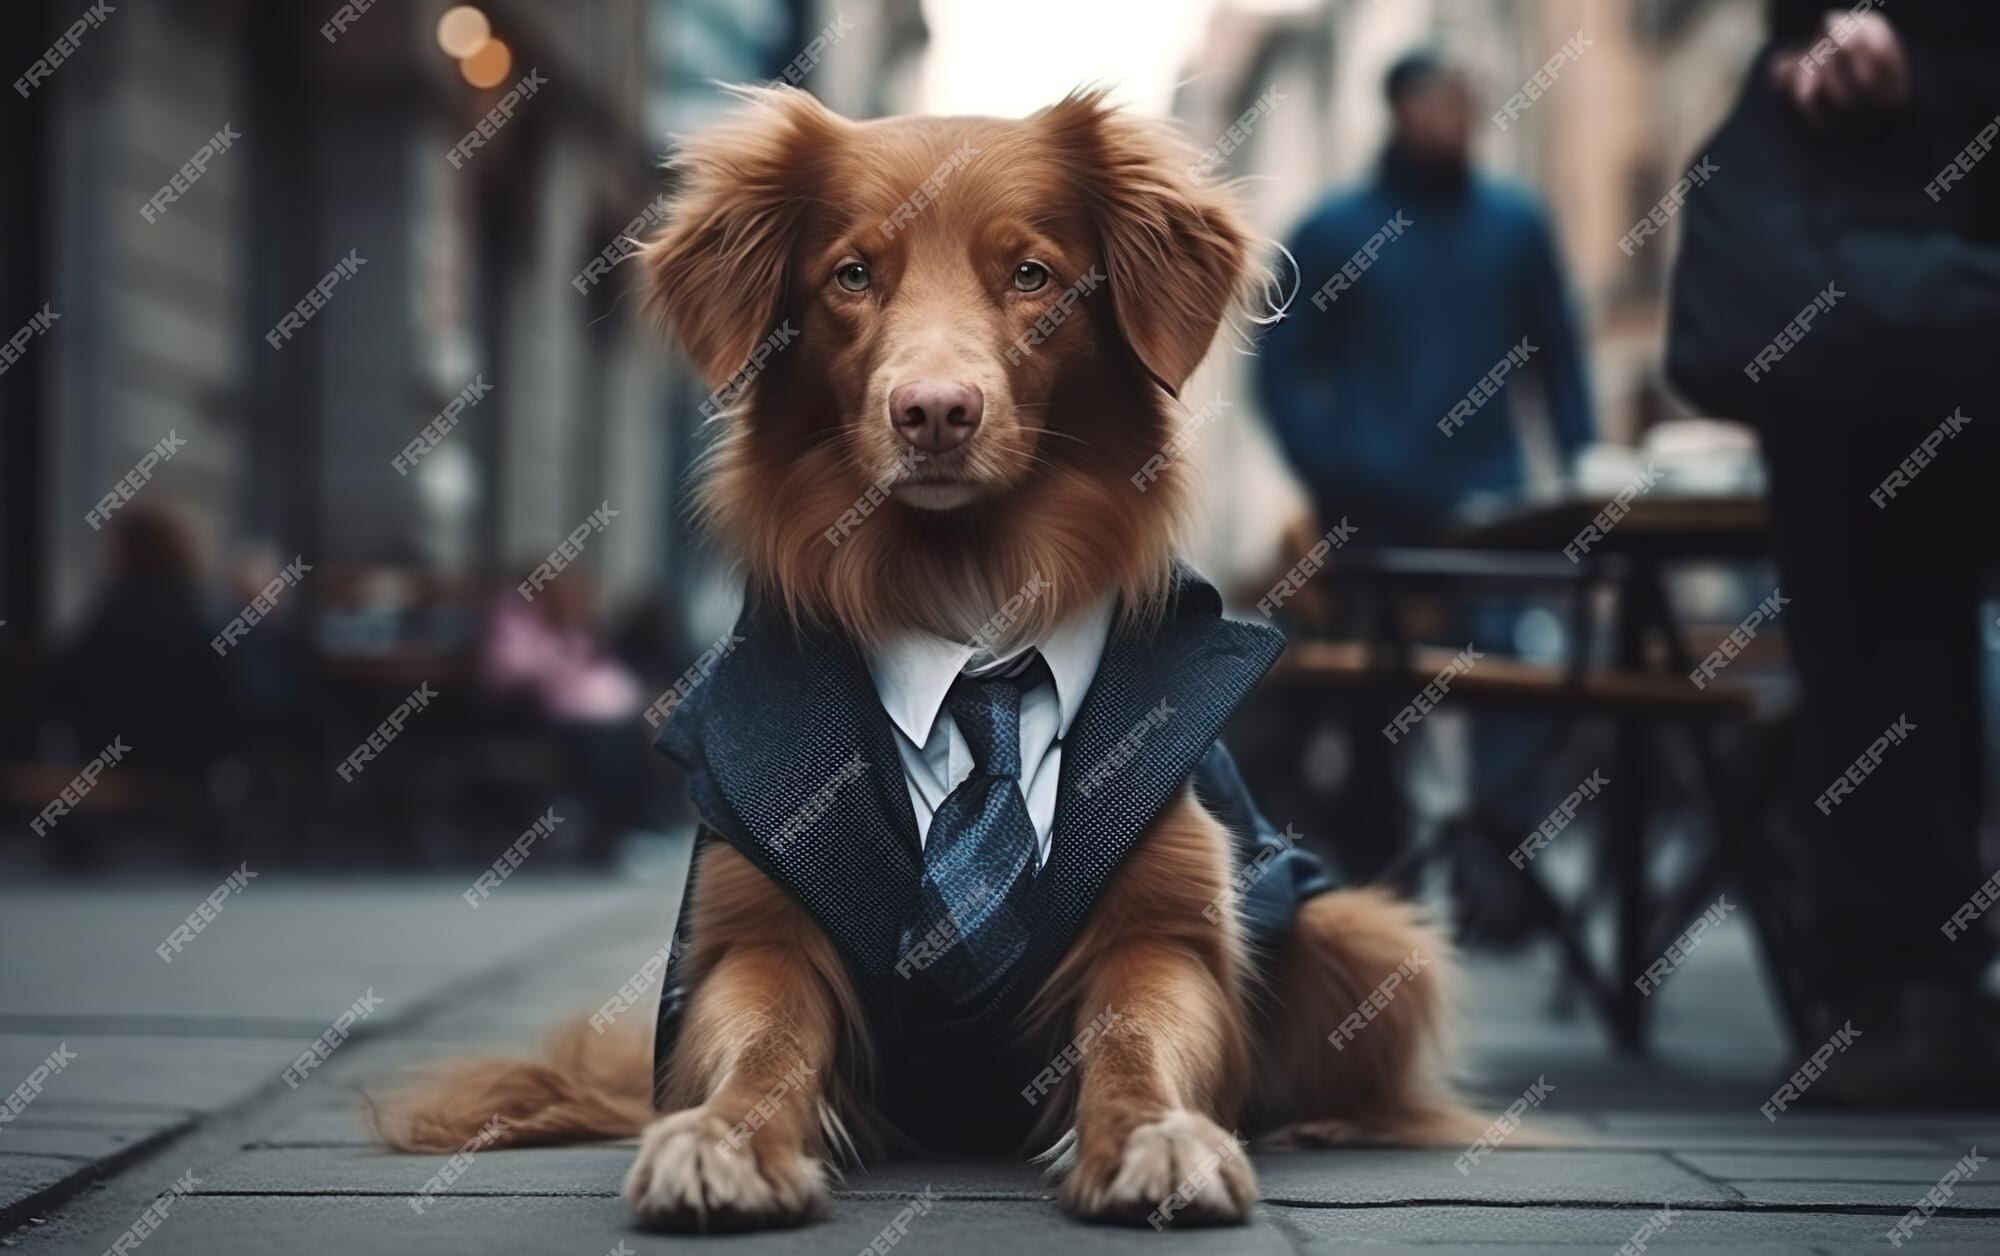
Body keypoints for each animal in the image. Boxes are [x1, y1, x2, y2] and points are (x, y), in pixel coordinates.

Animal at [378, 83, 1472, 1232]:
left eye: (1032, 275)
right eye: (852, 274)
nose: (934, 411)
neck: (971, 614)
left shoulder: (1167, 924)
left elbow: (1139, 1032)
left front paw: (1159, 1136)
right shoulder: (750, 925)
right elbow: (762, 1039)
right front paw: (723, 1140)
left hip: (1366, 935)